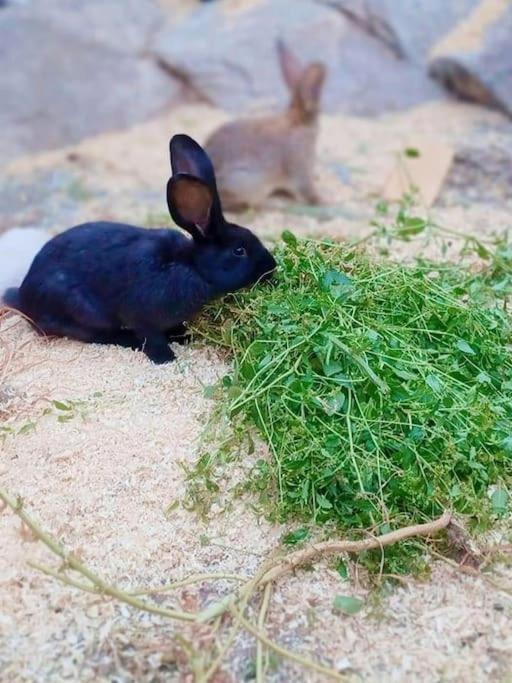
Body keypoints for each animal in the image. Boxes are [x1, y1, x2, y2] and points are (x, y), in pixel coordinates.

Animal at [3, 136, 276, 366]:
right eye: (239, 250)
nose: (272, 268)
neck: (191, 265)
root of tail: (23, 296)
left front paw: (183, 336)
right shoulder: (142, 316)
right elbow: (150, 336)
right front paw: (166, 358)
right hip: (79, 310)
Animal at [203, 40, 326, 211]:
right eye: (318, 110)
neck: (297, 122)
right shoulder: (300, 168)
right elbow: (307, 191)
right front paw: (325, 201)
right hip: (248, 182)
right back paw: (269, 204)